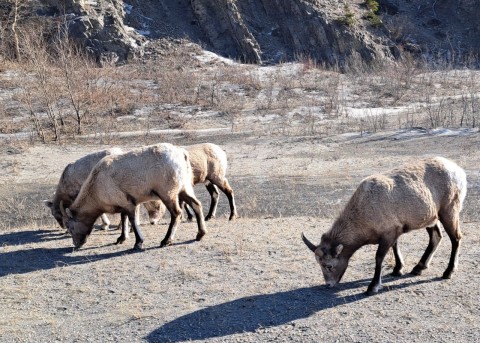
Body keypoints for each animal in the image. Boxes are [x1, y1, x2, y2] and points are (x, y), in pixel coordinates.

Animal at [62, 144, 207, 251]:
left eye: (71, 228)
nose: (76, 244)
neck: (96, 187)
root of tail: (182, 154)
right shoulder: (123, 203)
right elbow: (124, 218)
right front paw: (121, 238)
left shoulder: (128, 203)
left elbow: (132, 220)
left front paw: (138, 242)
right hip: (184, 188)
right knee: (197, 204)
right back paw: (200, 234)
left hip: (168, 193)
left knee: (176, 213)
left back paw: (166, 240)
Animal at [304, 158, 464, 296]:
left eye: (329, 266)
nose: (329, 284)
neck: (365, 208)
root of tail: (458, 171)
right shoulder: (393, 232)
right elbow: (395, 247)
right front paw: (398, 270)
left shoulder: (387, 234)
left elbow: (379, 257)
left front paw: (372, 287)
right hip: (431, 219)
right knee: (436, 237)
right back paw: (418, 268)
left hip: (449, 212)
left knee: (456, 238)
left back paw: (448, 272)